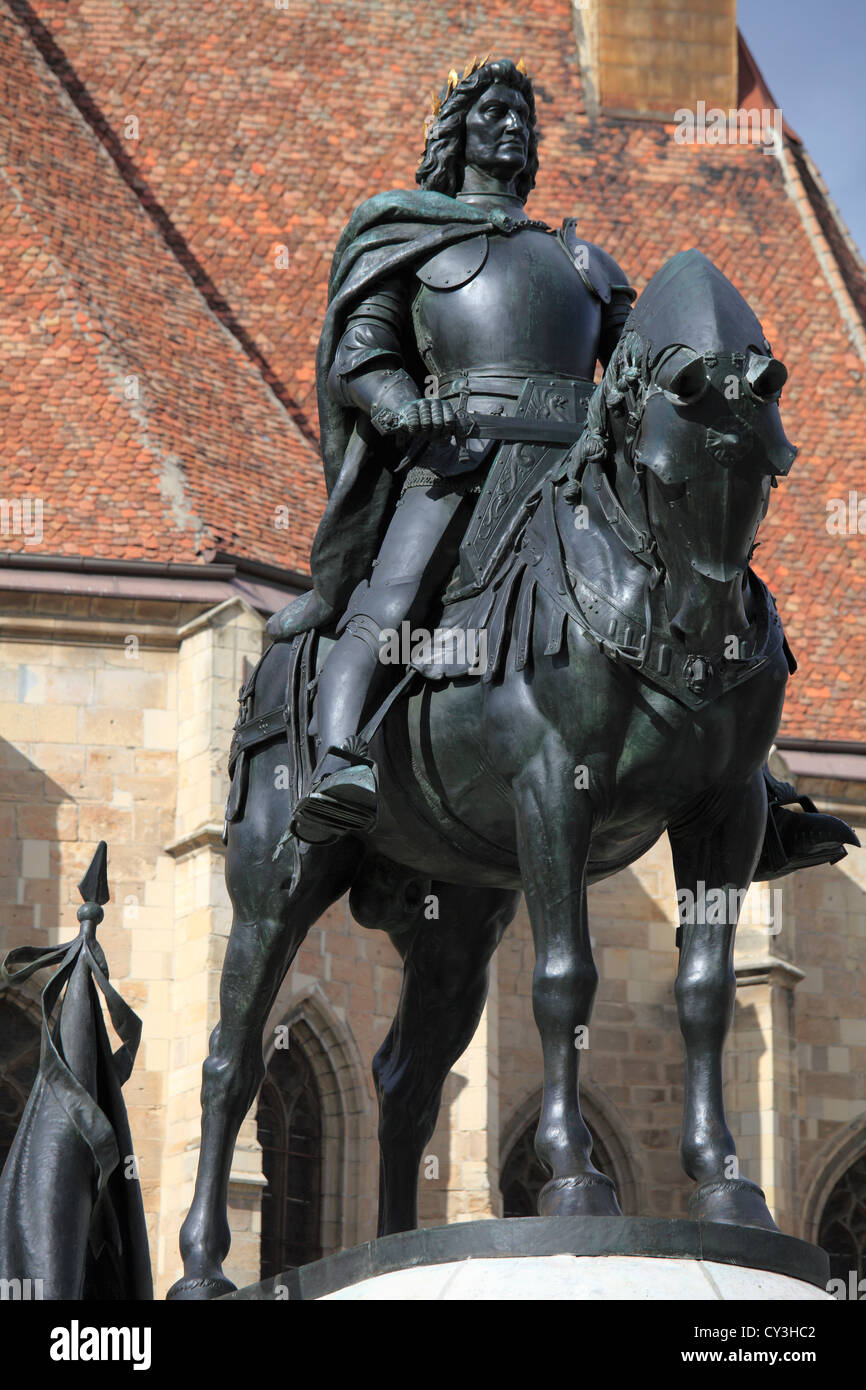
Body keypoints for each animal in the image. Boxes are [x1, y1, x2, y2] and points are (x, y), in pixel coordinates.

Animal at [169, 244, 811, 1295]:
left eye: (759, 476)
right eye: (669, 476)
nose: (707, 644)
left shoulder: (724, 819)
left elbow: (706, 995)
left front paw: (726, 1186)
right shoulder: (555, 794)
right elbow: (564, 982)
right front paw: (573, 1179)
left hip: (460, 921)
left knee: (405, 1082)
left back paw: (391, 1243)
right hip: (273, 878)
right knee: (232, 1059)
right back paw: (200, 1266)